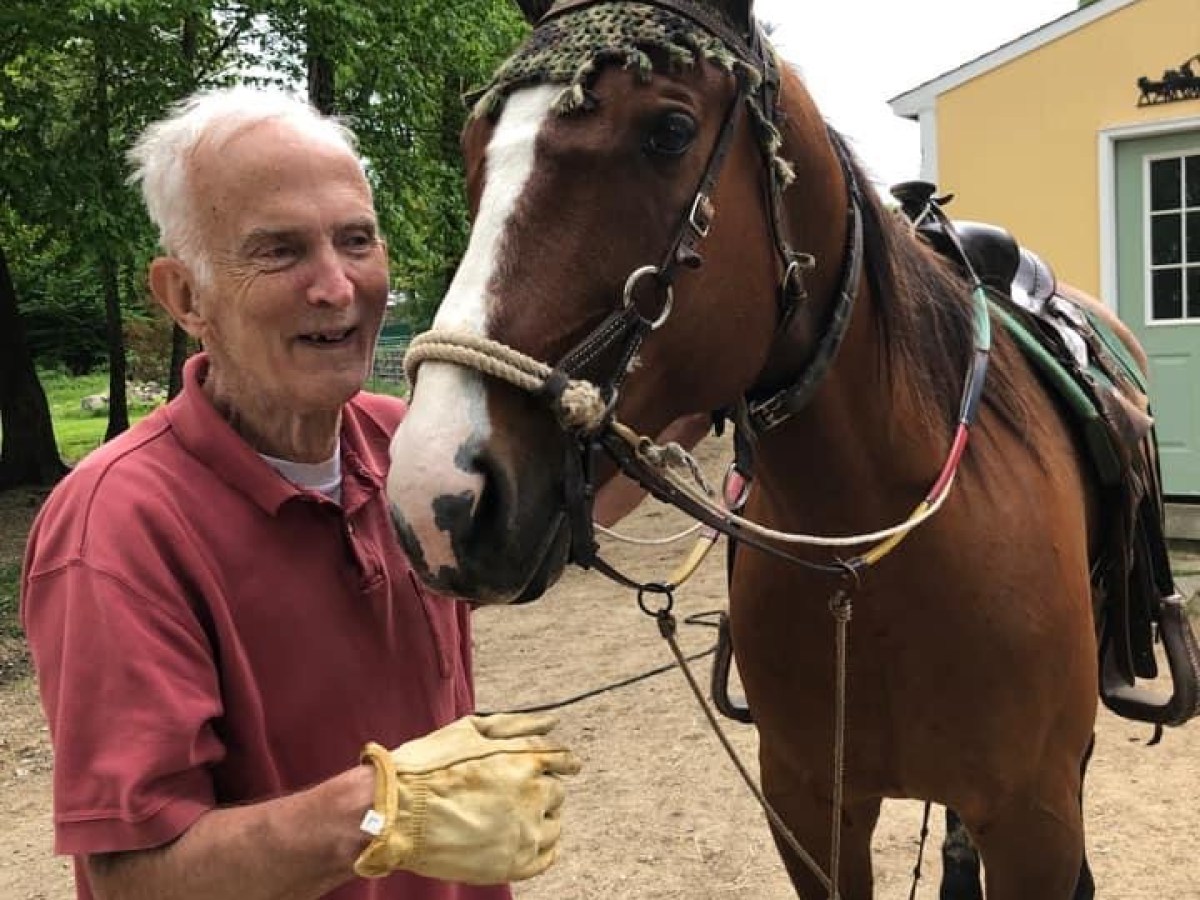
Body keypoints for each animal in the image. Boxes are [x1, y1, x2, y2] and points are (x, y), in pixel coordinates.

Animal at [384, 1, 1197, 896]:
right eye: (474, 146)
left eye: (669, 130)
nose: (435, 493)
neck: (871, 556)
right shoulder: (808, 806)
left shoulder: (1035, 823)